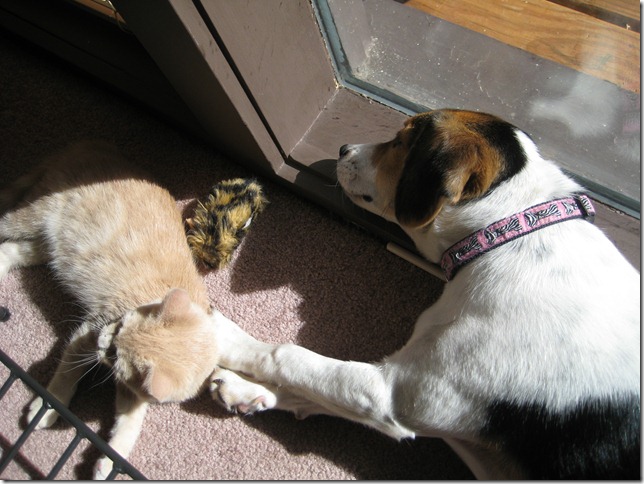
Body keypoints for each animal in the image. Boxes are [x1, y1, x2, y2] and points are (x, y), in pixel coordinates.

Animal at [0, 141, 220, 479]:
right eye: (120, 323)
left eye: (116, 355)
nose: (104, 338)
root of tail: (86, 147)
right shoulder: (86, 332)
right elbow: (68, 372)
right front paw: (48, 406)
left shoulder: (133, 391)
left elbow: (131, 421)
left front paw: (110, 459)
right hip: (32, 216)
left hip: (47, 245)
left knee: (9, 250)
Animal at [208, 109, 640, 479]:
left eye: (401, 142)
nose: (343, 149)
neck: (510, 232)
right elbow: (314, 390)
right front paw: (250, 389)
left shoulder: (396, 393)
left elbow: (292, 358)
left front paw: (223, 338)